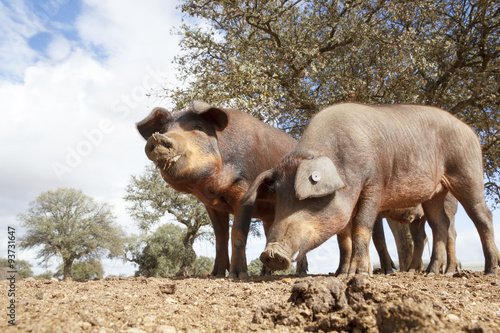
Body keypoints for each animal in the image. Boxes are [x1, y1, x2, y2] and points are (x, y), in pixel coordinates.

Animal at [135, 101, 294, 278]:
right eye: (164, 130)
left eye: (198, 127)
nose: (158, 137)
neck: (215, 189)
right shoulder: (212, 205)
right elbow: (220, 236)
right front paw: (215, 274)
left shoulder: (245, 190)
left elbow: (238, 232)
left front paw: (238, 276)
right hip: (268, 216)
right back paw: (266, 274)